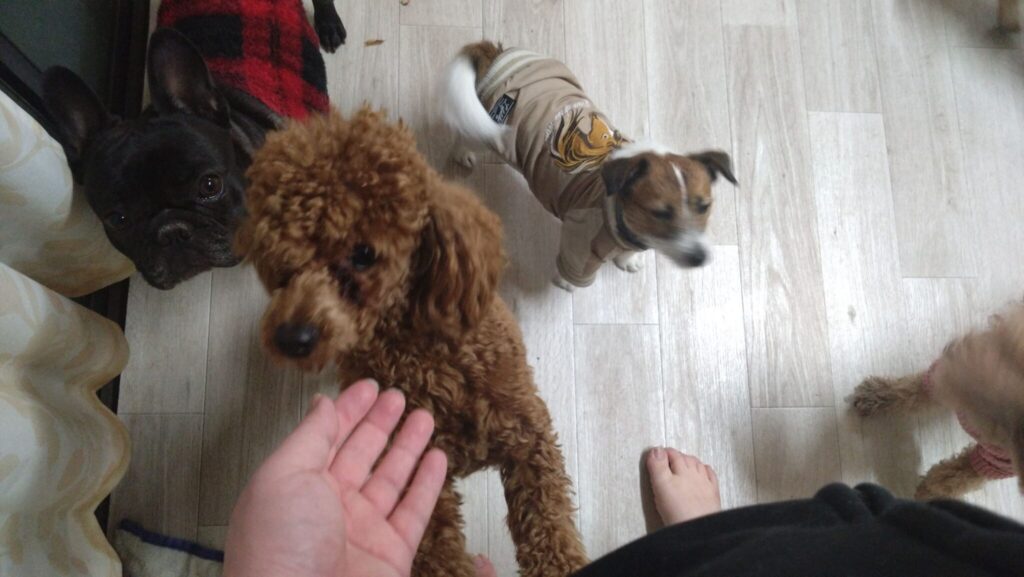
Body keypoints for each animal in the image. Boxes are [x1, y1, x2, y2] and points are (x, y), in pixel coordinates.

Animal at [237, 108, 588, 577]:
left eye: (364, 254)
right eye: (277, 256)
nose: (291, 338)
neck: (414, 349)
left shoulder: (527, 437)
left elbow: (547, 520)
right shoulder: (417, 473)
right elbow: (438, 552)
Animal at [440, 41, 737, 291]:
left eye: (704, 206)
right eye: (659, 213)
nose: (700, 257)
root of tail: (498, 53)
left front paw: (628, 260)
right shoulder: (579, 239)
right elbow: (576, 269)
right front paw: (567, 283)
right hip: (488, 130)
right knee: (464, 133)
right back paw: (462, 153)